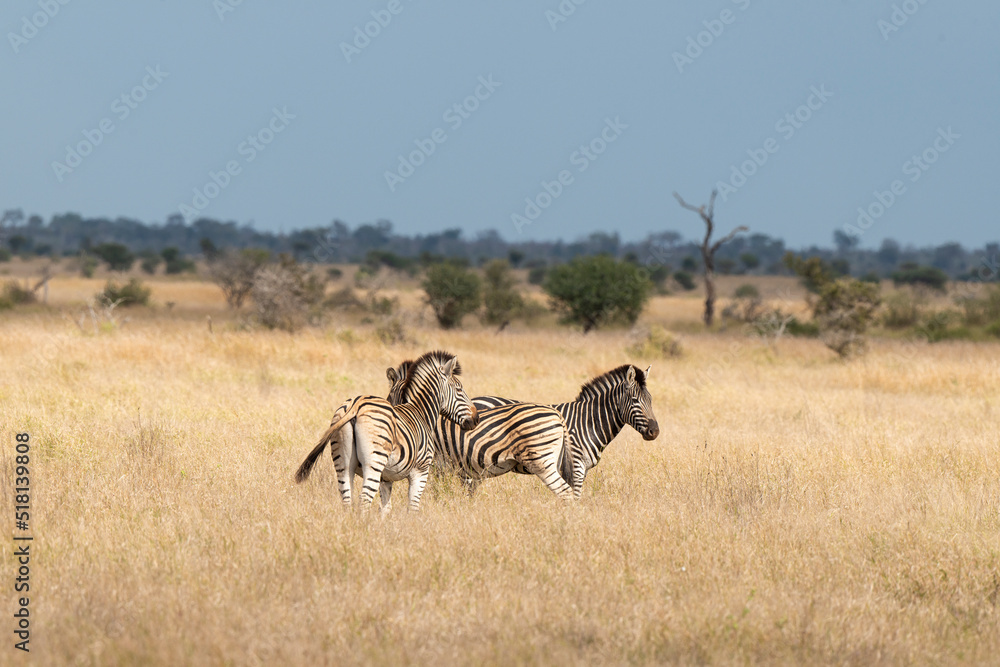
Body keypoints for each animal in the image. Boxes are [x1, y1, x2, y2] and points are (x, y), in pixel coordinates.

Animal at [294, 350, 478, 512]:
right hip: (374, 461)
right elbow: (413, 507)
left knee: (347, 498)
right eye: (459, 389)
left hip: (343, 461)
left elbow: (386, 508)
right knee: (364, 498)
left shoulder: (386, 477)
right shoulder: (421, 471)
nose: (476, 419)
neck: (421, 411)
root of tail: (356, 405)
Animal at [385, 360, 582, 500]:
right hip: (555, 460)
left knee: (565, 491)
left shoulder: (435, 464)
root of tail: (557, 414)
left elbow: (436, 492)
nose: (475, 419)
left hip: (542, 460)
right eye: (392, 396)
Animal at [473, 364, 659, 493]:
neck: (588, 422)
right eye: (635, 400)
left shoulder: (580, 469)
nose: (655, 432)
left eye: (650, 400)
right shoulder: (576, 466)